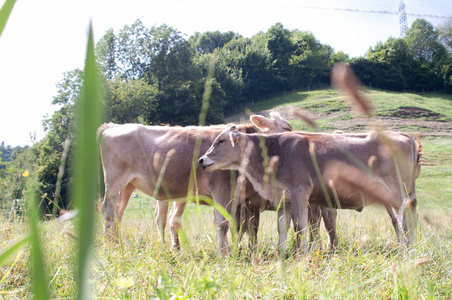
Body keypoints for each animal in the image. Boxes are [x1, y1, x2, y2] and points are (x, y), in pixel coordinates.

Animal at [97, 111, 292, 254]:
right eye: (285, 128)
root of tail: (113, 126)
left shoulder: (240, 200)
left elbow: (239, 226)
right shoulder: (223, 191)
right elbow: (223, 223)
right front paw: (225, 253)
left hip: (128, 187)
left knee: (119, 215)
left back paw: (119, 244)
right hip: (115, 182)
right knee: (109, 212)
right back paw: (112, 247)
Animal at [200, 126, 422, 255]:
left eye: (221, 141)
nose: (201, 160)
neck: (274, 152)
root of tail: (401, 134)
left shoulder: (300, 191)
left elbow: (302, 225)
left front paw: (303, 254)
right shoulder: (284, 198)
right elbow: (283, 227)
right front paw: (282, 254)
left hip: (398, 193)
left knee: (405, 220)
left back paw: (408, 249)